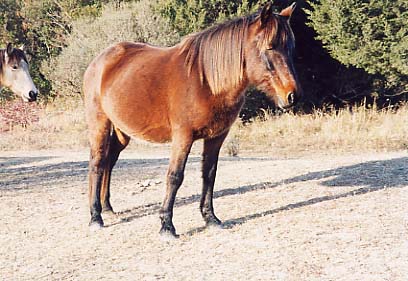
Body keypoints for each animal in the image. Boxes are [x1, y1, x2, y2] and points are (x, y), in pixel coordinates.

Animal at [83, 2, 300, 235]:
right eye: (270, 47)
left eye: (291, 48)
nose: (292, 95)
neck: (205, 81)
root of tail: (100, 60)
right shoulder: (183, 137)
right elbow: (175, 176)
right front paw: (166, 225)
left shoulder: (217, 137)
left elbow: (209, 175)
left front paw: (210, 218)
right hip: (99, 123)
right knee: (97, 162)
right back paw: (95, 216)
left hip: (122, 132)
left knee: (109, 160)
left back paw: (107, 207)